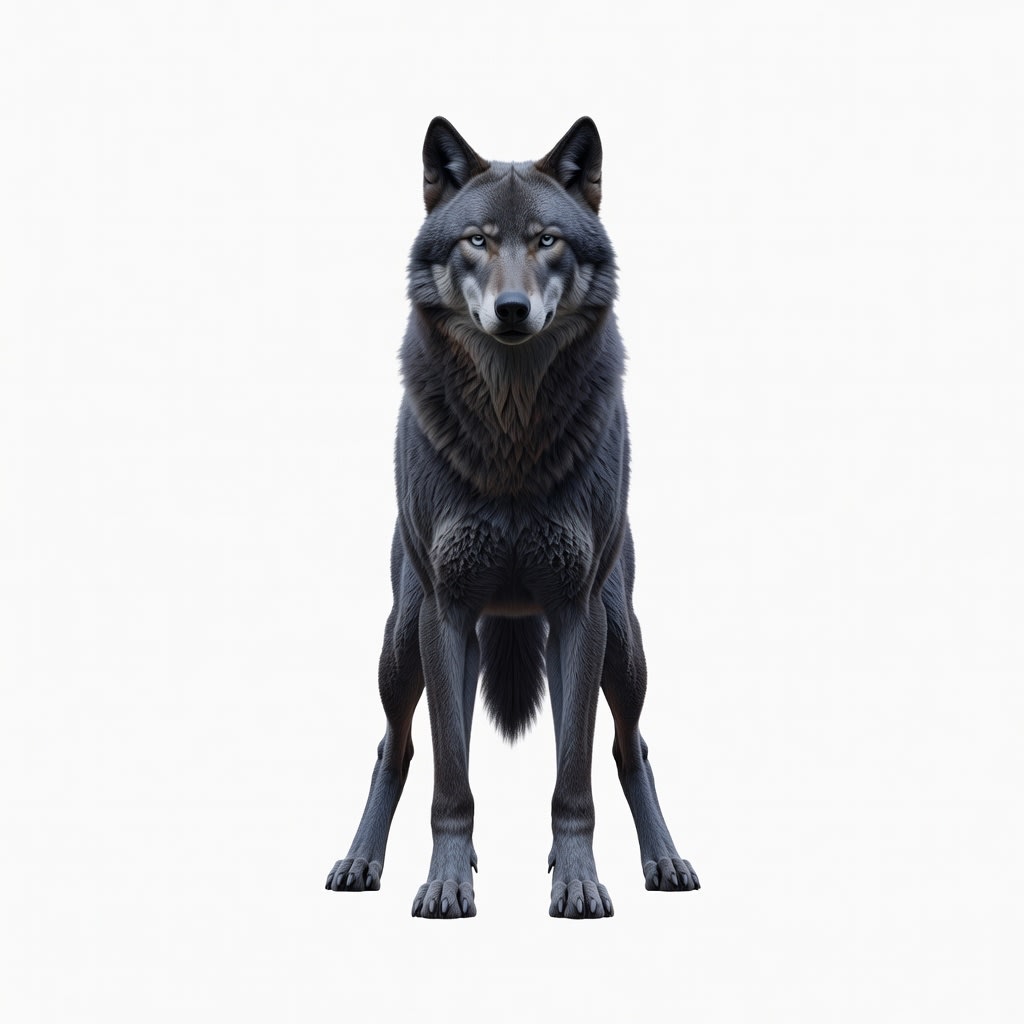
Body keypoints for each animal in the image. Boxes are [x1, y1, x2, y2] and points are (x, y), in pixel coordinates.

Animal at [325, 117, 699, 918]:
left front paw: (580, 883)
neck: (512, 438)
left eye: (547, 241)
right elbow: (450, 782)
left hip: (618, 647)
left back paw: (662, 860)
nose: (513, 311)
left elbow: (575, 782)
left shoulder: (578, 611)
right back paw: (362, 860)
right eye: (478, 241)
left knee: (626, 747)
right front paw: (444, 884)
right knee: (400, 747)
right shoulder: (446, 612)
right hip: (406, 647)